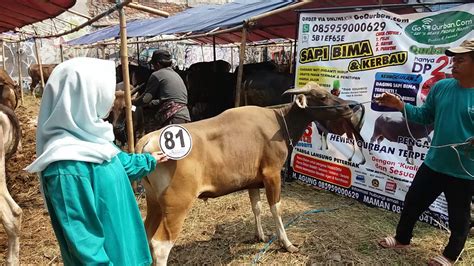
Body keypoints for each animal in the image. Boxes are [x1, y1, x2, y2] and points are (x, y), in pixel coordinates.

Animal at [134, 82, 352, 264]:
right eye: (322, 96)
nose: (349, 107)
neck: (279, 123)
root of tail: (147, 140)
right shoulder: (272, 174)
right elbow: (276, 209)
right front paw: (287, 243)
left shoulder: (253, 181)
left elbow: (256, 207)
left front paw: (260, 235)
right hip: (177, 204)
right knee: (160, 245)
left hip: (154, 201)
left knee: (146, 234)